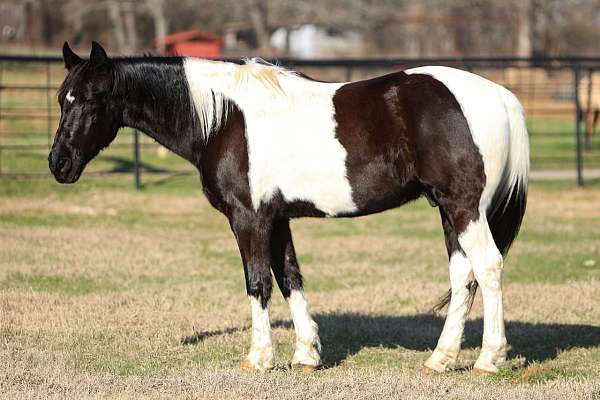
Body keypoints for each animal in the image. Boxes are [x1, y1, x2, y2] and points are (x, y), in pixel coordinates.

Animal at [51, 43, 528, 376]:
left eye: (90, 99)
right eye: (61, 98)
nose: (59, 164)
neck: (224, 118)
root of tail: (499, 96)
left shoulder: (248, 218)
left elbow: (258, 282)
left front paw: (259, 357)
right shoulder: (277, 219)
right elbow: (289, 278)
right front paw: (306, 356)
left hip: (464, 207)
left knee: (488, 267)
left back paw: (488, 359)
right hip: (449, 211)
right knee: (463, 276)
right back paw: (440, 359)